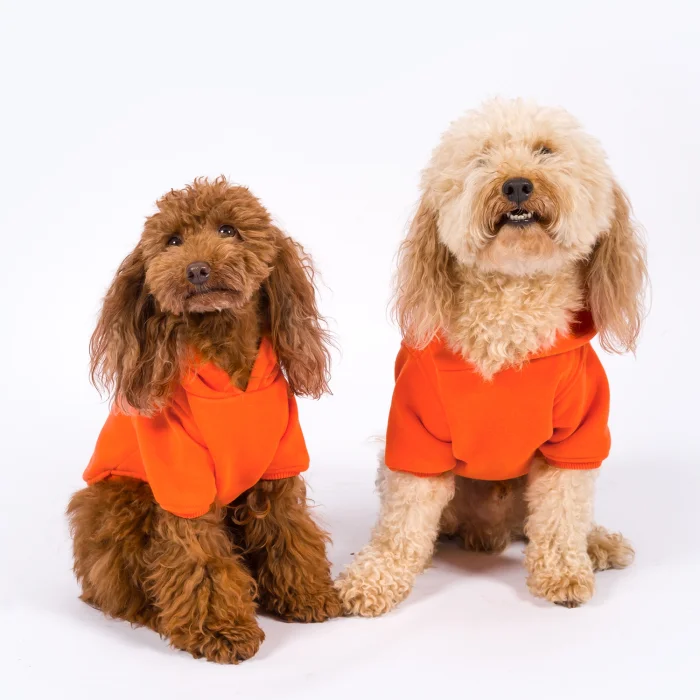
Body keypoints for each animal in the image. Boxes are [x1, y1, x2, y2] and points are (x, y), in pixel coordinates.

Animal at [68, 177, 341, 663]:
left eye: (228, 230)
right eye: (173, 241)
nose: (196, 270)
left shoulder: (278, 467)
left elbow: (290, 530)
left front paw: (306, 594)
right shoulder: (183, 481)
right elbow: (200, 559)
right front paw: (220, 629)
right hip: (119, 500)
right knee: (113, 585)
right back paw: (152, 613)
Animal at [336, 98, 647, 614]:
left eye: (546, 151)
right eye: (481, 158)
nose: (517, 184)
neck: (510, 308)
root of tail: (490, 532)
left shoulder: (577, 435)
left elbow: (563, 511)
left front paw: (564, 572)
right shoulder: (415, 433)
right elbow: (403, 521)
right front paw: (376, 576)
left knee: (557, 519)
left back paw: (597, 543)